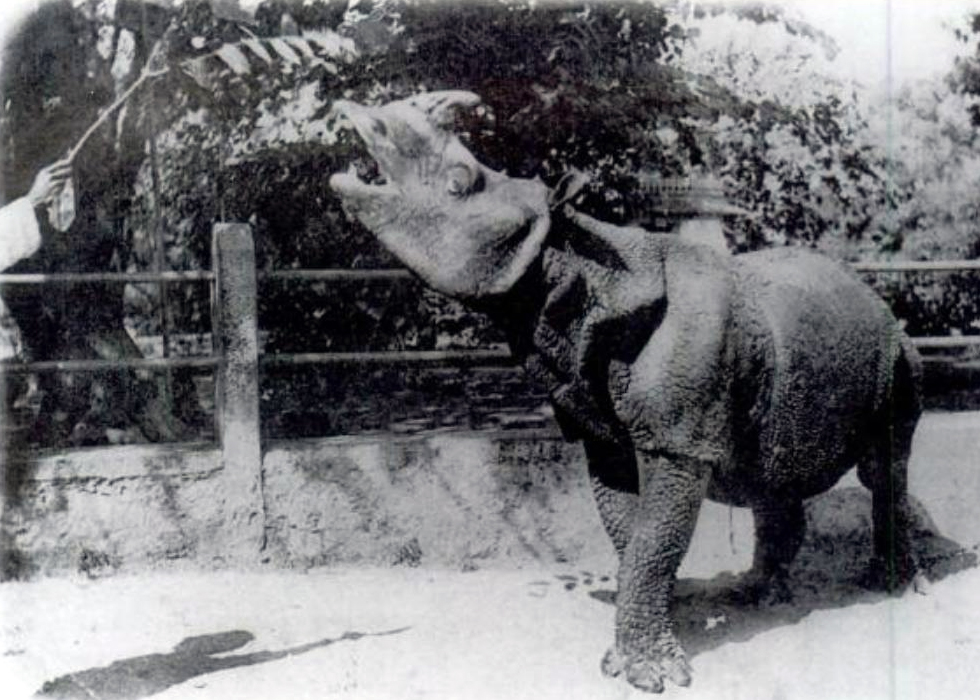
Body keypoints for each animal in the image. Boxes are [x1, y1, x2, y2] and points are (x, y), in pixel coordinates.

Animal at [328, 91, 923, 693]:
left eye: (459, 181)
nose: (363, 117)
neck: (575, 268)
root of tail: (873, 294)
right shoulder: (599, 426)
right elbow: (632, 531)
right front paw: (657, 632)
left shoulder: (680, 437)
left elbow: (653, 538)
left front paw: (650, 672)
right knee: (770, 472)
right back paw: (758, 594)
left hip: (898, 350)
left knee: (883, 465)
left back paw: (889, 586)